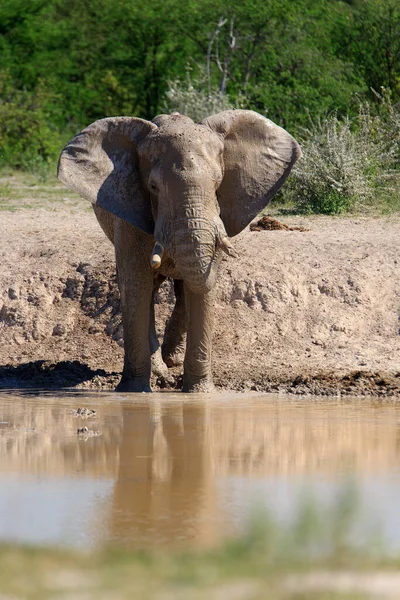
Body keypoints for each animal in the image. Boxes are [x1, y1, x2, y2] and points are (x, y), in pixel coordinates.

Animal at [56, 109, 300, 394]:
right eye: (153, 187)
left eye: (218, 183)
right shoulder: (129, 210)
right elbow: (136, 283)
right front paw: (133, 392)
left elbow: (200, 286)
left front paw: (199, 393)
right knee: (149, 289)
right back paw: (160, 368)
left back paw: (170, 359)